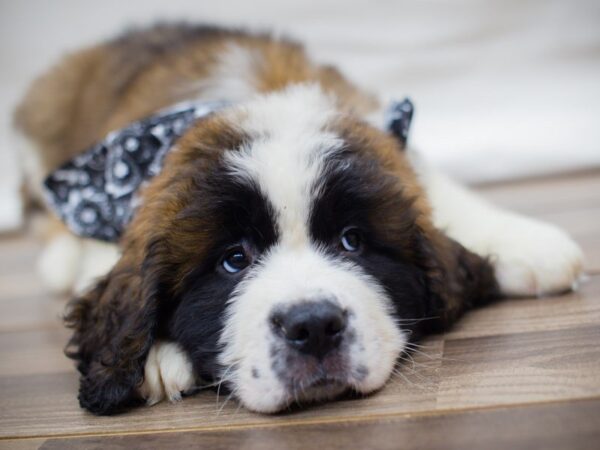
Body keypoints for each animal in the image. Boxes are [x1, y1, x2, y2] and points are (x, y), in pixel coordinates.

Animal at [14, 22, 584, 414]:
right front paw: (156, 355)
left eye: (352, 241)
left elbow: (434, 186)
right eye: (234, 260)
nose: (312, 327)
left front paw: (526, 243)